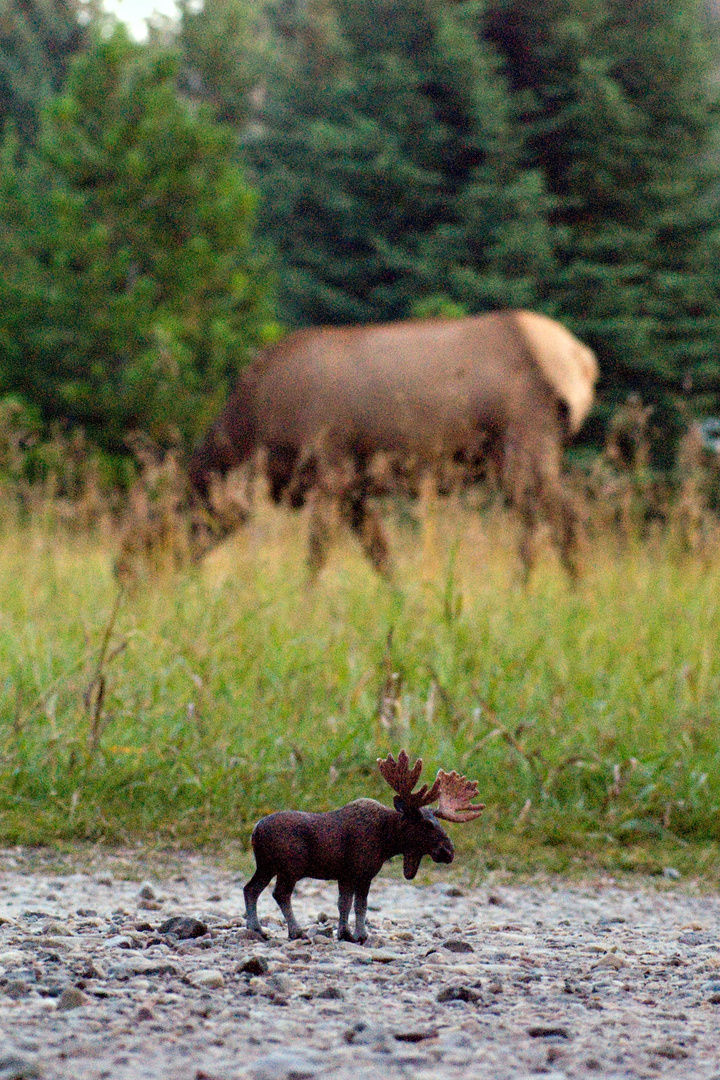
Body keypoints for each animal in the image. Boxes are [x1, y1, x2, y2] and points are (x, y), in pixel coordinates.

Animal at [184, 311, 595, 578]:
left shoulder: (330, 473)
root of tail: (584, 363)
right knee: (541, 524)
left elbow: (316, 556)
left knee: (563, 521)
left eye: (184, 511)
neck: (253, 429)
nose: (171, 565)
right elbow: (381, 556)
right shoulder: (354, 490)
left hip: (524, 446)